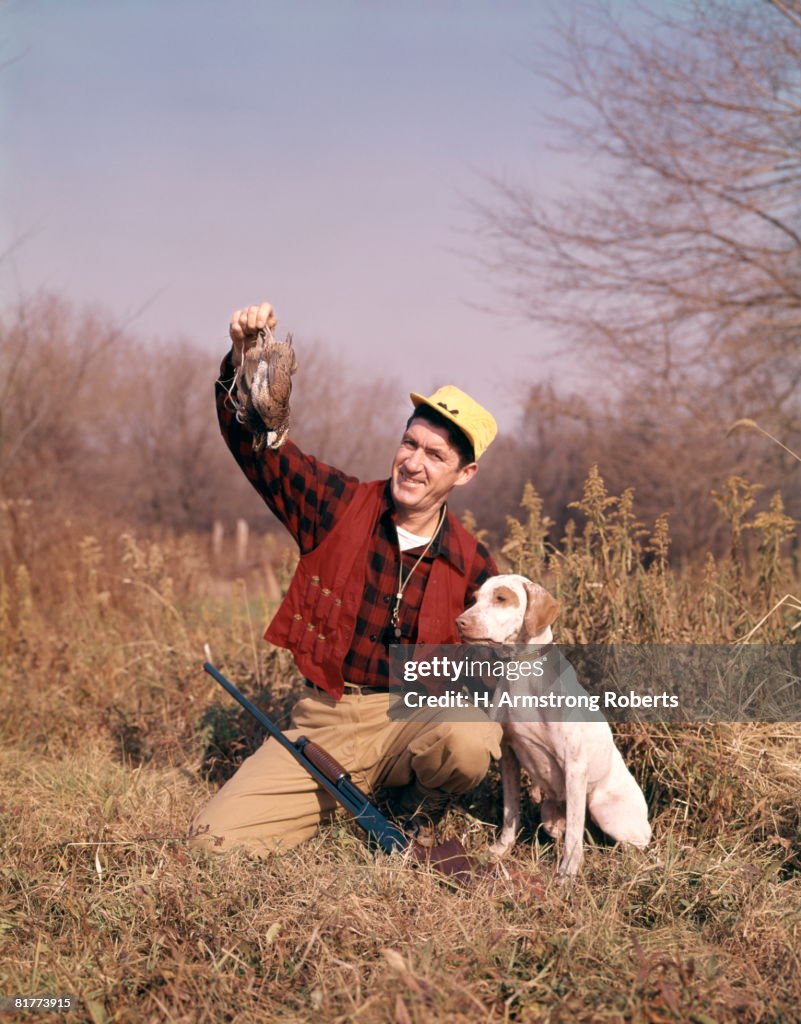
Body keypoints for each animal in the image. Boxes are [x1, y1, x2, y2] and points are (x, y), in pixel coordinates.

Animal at [458, 573, 651, 876]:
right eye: (475, 599)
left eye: (501, 598)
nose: (460, 622)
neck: (522, 671)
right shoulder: (508, 755)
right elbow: (510, 812)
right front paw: (500, 851)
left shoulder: (574, 766)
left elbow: (574, 832)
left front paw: (568, 873)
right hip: (550, 814)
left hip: (606, 811)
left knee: (633, 843)